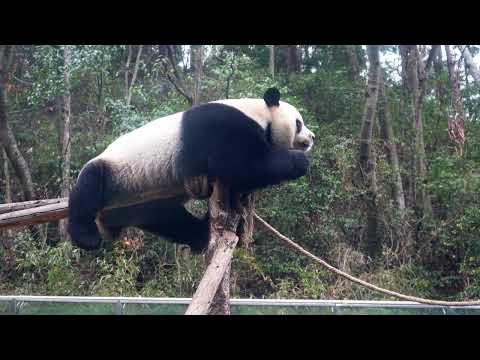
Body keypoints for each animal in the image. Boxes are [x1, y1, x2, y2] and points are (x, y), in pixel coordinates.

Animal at [67, 88, 316, 253]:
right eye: (299, 123)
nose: (312, 137)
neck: (258, 113)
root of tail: (108, 220)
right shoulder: (222, 126)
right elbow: (241, 164)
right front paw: (300, 161)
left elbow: (240, 178)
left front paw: (240, 208)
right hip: (115, 171)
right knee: (89, 186)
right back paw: (86, 238)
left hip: (141, 202)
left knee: (169, 220)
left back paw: (201, 234)